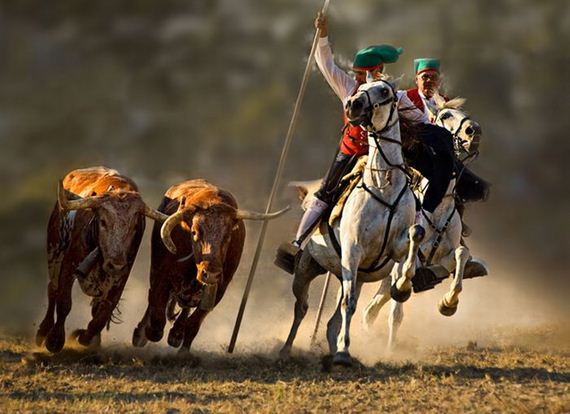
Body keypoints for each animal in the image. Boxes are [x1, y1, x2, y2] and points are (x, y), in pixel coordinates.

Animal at [280, 80, 422, 366]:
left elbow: (416, 234)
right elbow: (349, 305)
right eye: (362, 88)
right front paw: (344, 352)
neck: (383, 186)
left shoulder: (395, 247)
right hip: (307, 270)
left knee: (332, 320)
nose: (352, 104)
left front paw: (403, 286)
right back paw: (286, 351)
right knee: (302, 308)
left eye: (384, 91)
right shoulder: (352, 251)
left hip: (349, 275)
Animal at [362, 97, 486, 350]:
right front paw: (390, 349)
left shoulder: (445, 259)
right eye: (446, 115)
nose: (474, 131)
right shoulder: (402, 264)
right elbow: (396, 312)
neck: (436, 210)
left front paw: (448, 303)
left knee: (372, 308)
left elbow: (461, 255)